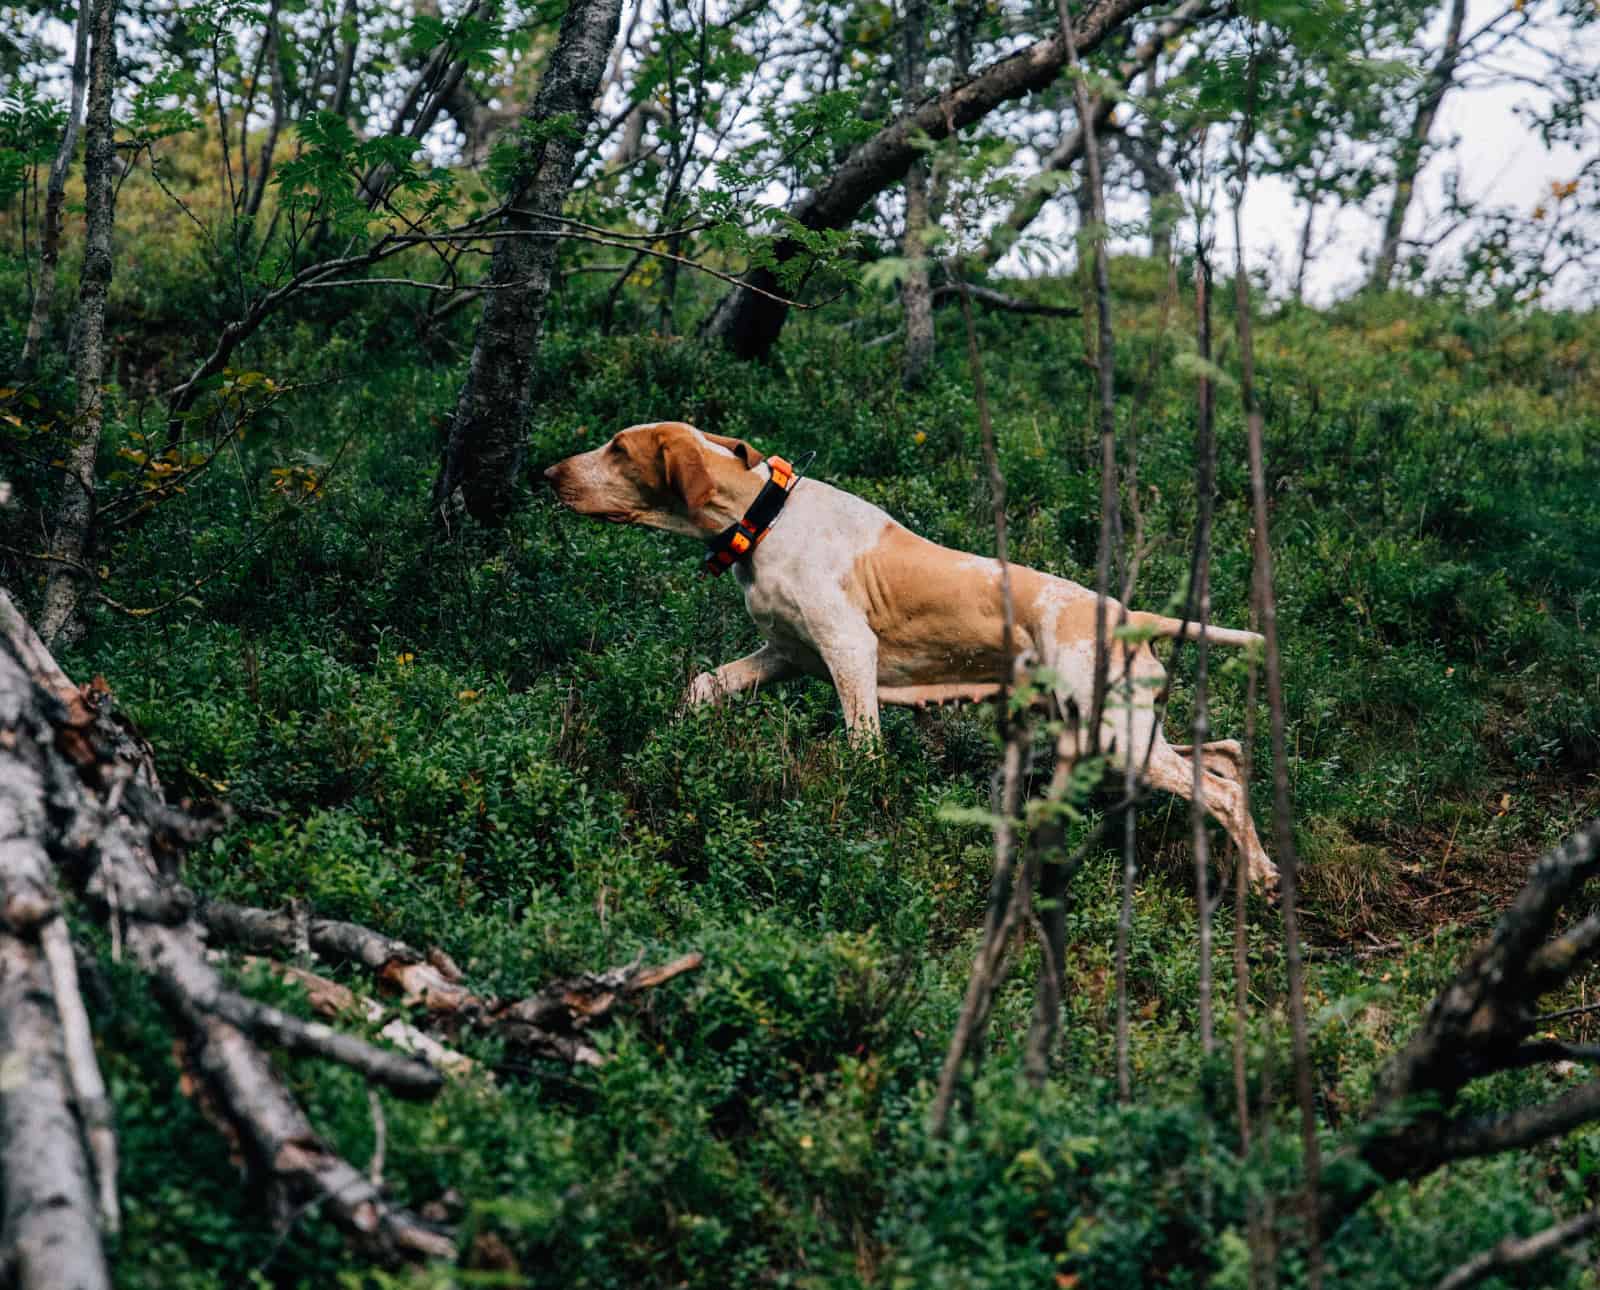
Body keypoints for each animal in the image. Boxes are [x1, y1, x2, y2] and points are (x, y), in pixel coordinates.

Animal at [544, 425, 1280, 889]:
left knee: (1219, 789)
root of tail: (1131, 616)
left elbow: (863, 749)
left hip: (1114, 733)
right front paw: (668, 741)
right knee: (1226, 757)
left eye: (617, 447)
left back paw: (1262, 879)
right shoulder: (785, 654)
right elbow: (703, 684)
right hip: (1111, 730)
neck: (765, 517)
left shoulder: (848, 650)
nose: (547, 472)